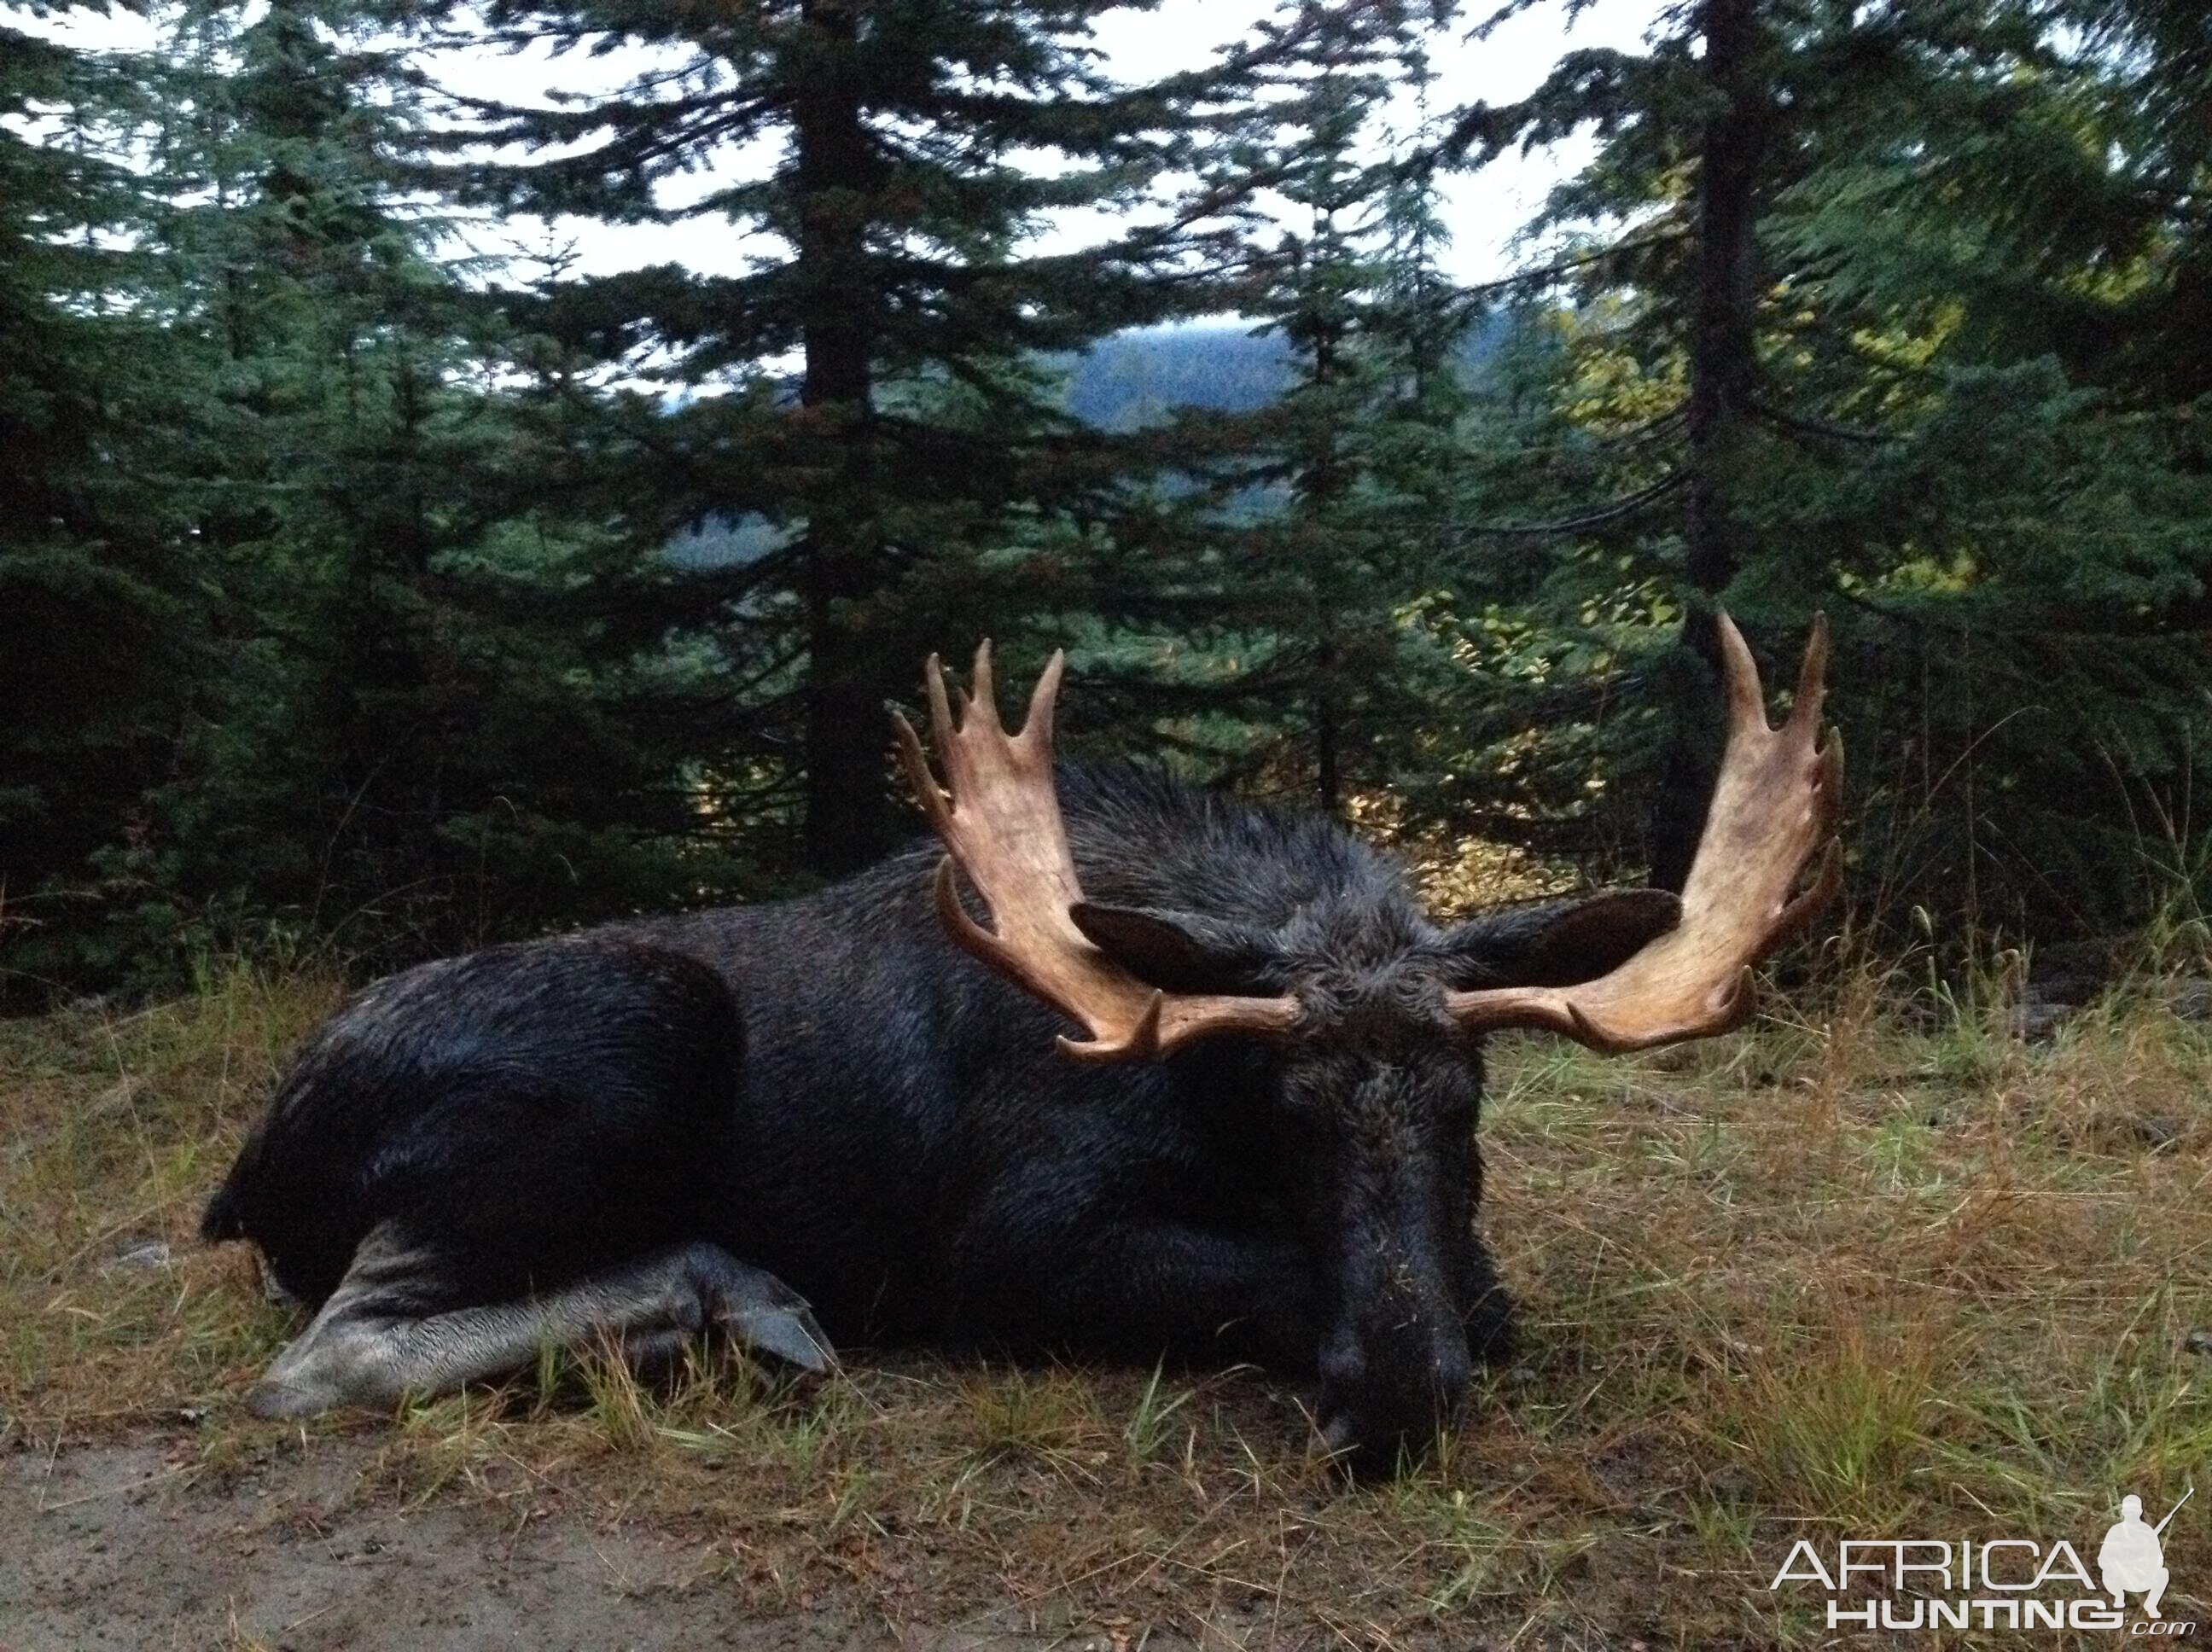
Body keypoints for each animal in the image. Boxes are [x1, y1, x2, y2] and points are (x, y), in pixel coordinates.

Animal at [207, 619, 1840, 1477]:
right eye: (1284, 1104)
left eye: (1468, 1101)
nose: (1392, 1398)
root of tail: (246, 1171)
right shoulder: (1006, 1240)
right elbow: (1281, 1275)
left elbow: (1485, 1288)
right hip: (637, 1029)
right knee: (329, 1352)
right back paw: (729, 1295)